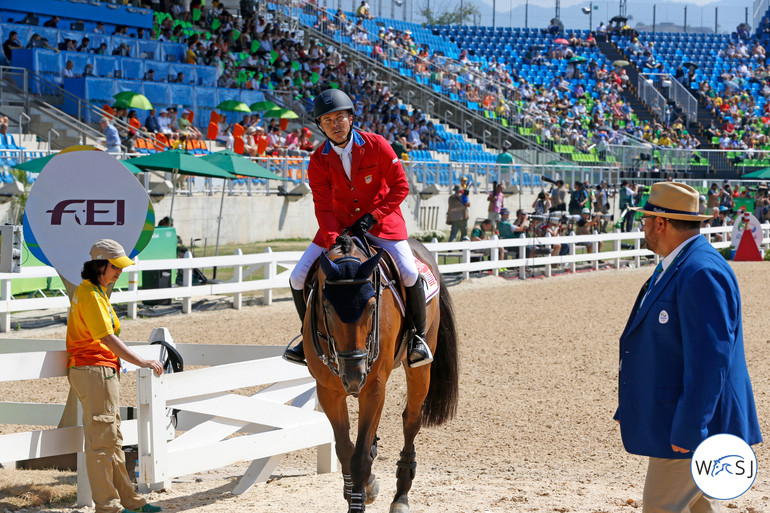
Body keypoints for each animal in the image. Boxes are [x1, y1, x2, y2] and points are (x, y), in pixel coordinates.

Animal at [300, 234, 456, 510]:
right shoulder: (328, 391)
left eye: (373, 306)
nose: (353, 377)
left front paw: (358, 500)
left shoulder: (373, 388)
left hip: (419, 369)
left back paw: (401, 495)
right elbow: (345, 450)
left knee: (411, 420)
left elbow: (359, 457)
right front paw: (357, 489)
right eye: (326, 307)